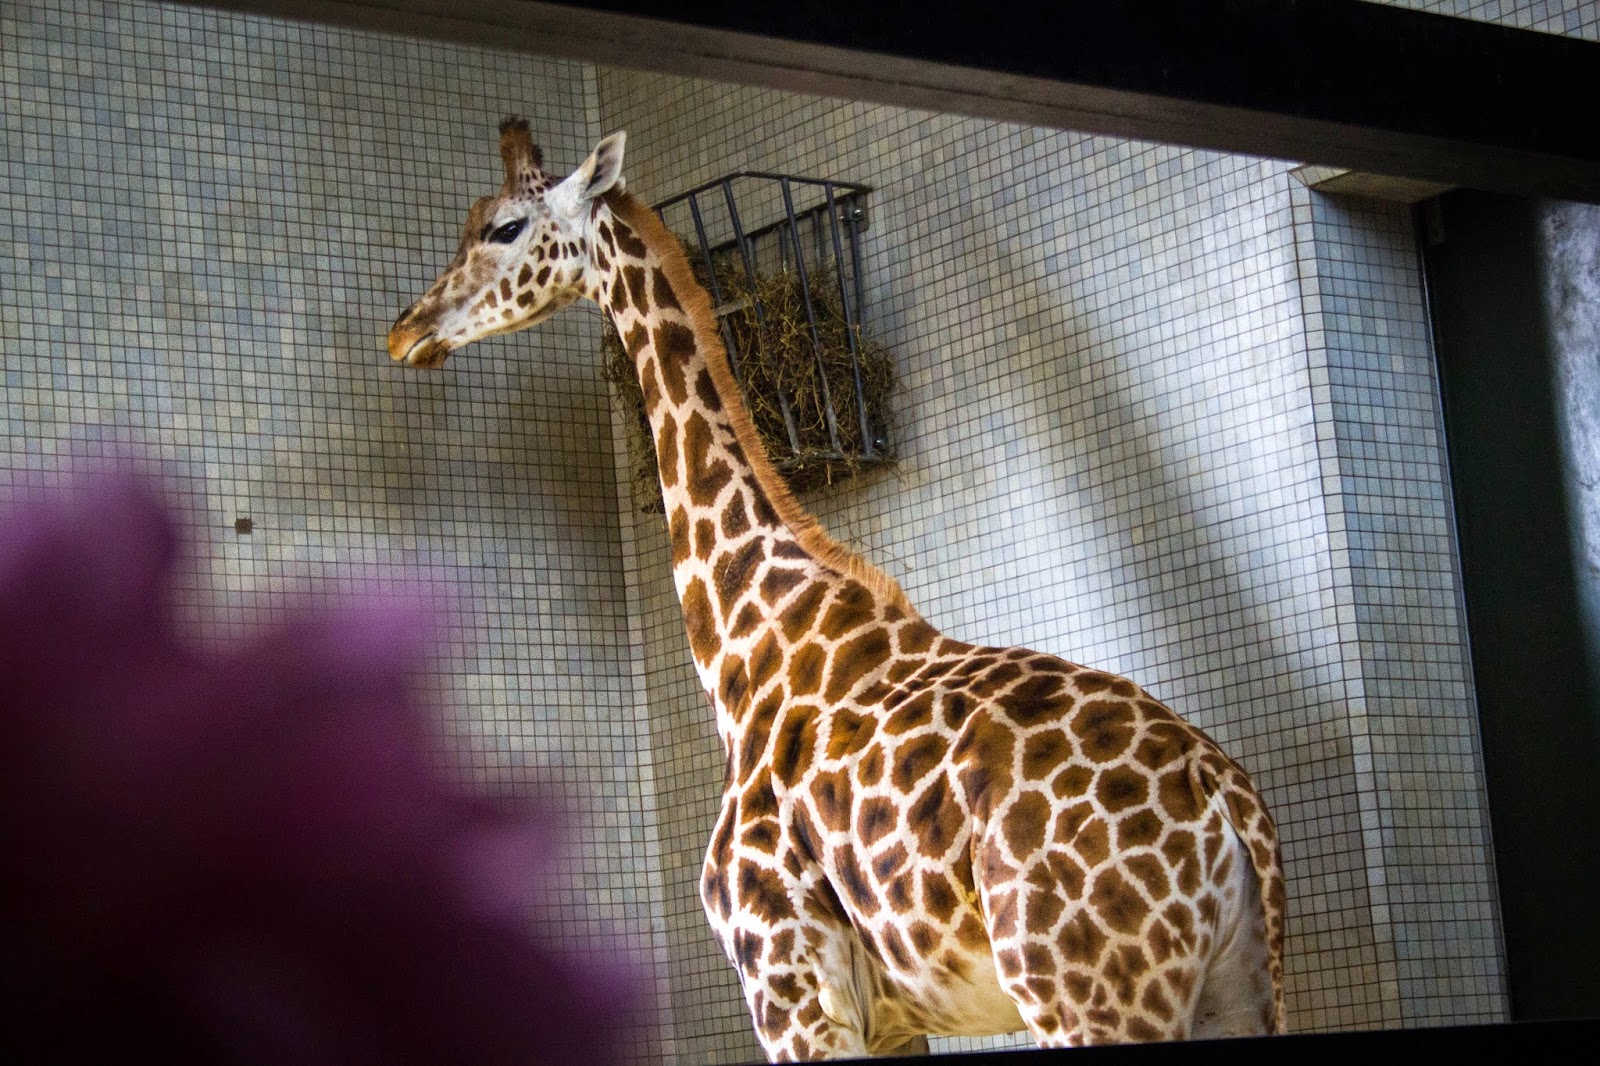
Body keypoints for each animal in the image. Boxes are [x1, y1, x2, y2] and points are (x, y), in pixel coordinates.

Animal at [388, 119, 1287, 1061]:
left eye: (504, 227)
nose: (405, 330)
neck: (750, 644)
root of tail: (1225, 804)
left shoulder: (786, 984)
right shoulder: (892, 1018)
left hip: (1088, 996)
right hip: (1236, 995)